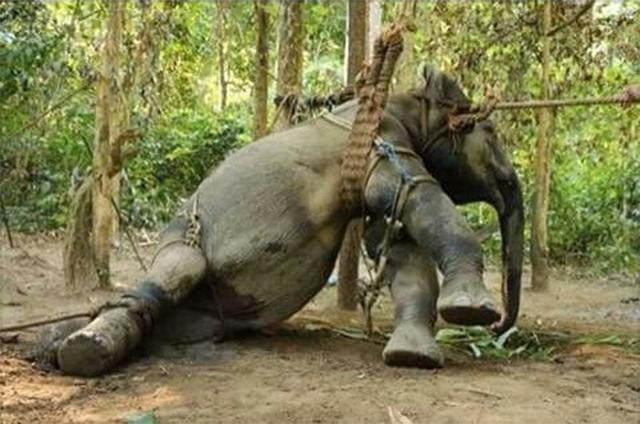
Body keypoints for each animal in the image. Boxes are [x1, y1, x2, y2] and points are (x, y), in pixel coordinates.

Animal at [50, 65, 524, 376]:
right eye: (491, 133)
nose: (499, 331)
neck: (403, 99)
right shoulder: (383, 145)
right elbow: (423, 202)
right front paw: (471, 311)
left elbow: (402, 249)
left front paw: (411, 358)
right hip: (180, 237)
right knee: (178, 269)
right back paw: (84, 350)